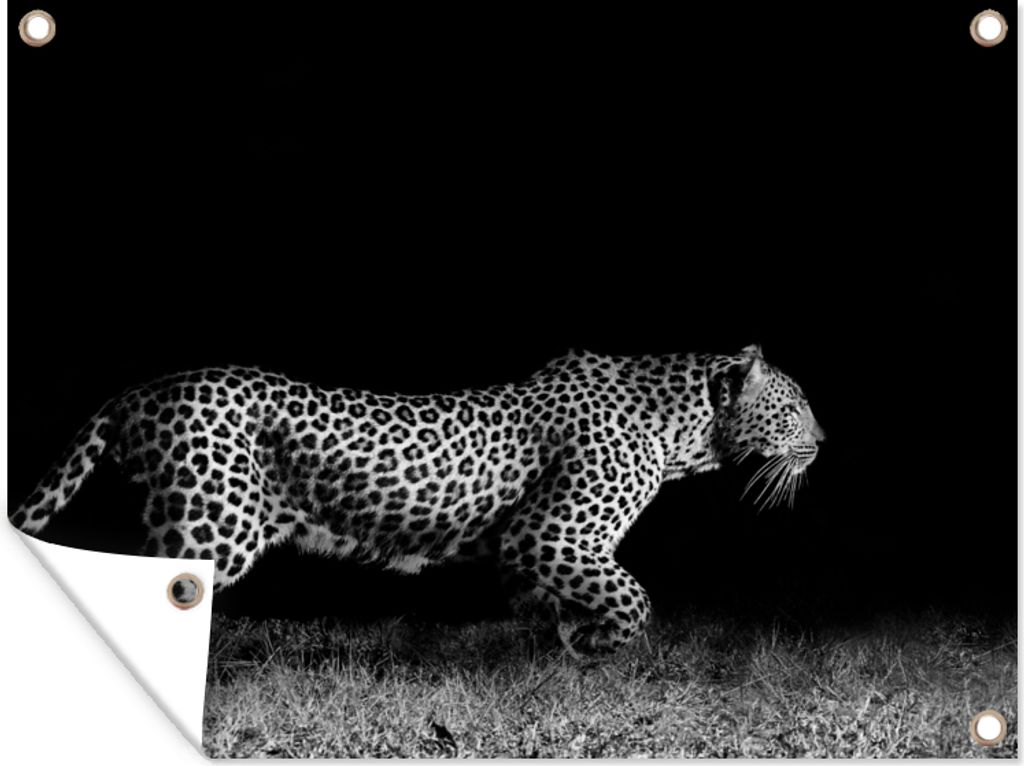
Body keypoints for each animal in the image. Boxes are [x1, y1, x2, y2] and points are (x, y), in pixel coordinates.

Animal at [10, 344, 824, 654]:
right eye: (795, 405)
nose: (824, 440)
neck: (686, 428)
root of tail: (141, 389)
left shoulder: (532, 554)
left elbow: (554, 607)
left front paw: (558, 654)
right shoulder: (552, 535)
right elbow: (632, 596)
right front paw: (601, 646)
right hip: (212, 527)